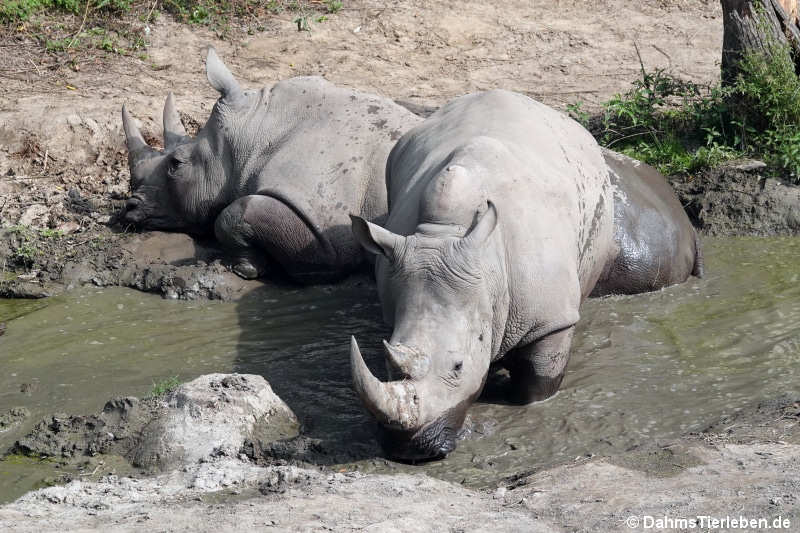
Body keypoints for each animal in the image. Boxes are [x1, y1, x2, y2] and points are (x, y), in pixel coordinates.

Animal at [122, 48, 422, 284]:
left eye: (176, 163)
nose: (130, 207)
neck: (253, 129)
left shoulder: (325, 229)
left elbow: (230, 215)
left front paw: (245, 268)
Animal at [348, 89, 700, 460]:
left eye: (458, 367)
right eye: (389, 361)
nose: (411, 450)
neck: (450, 234)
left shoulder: (550, 317)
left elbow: (539, 375)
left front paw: (525, 402)